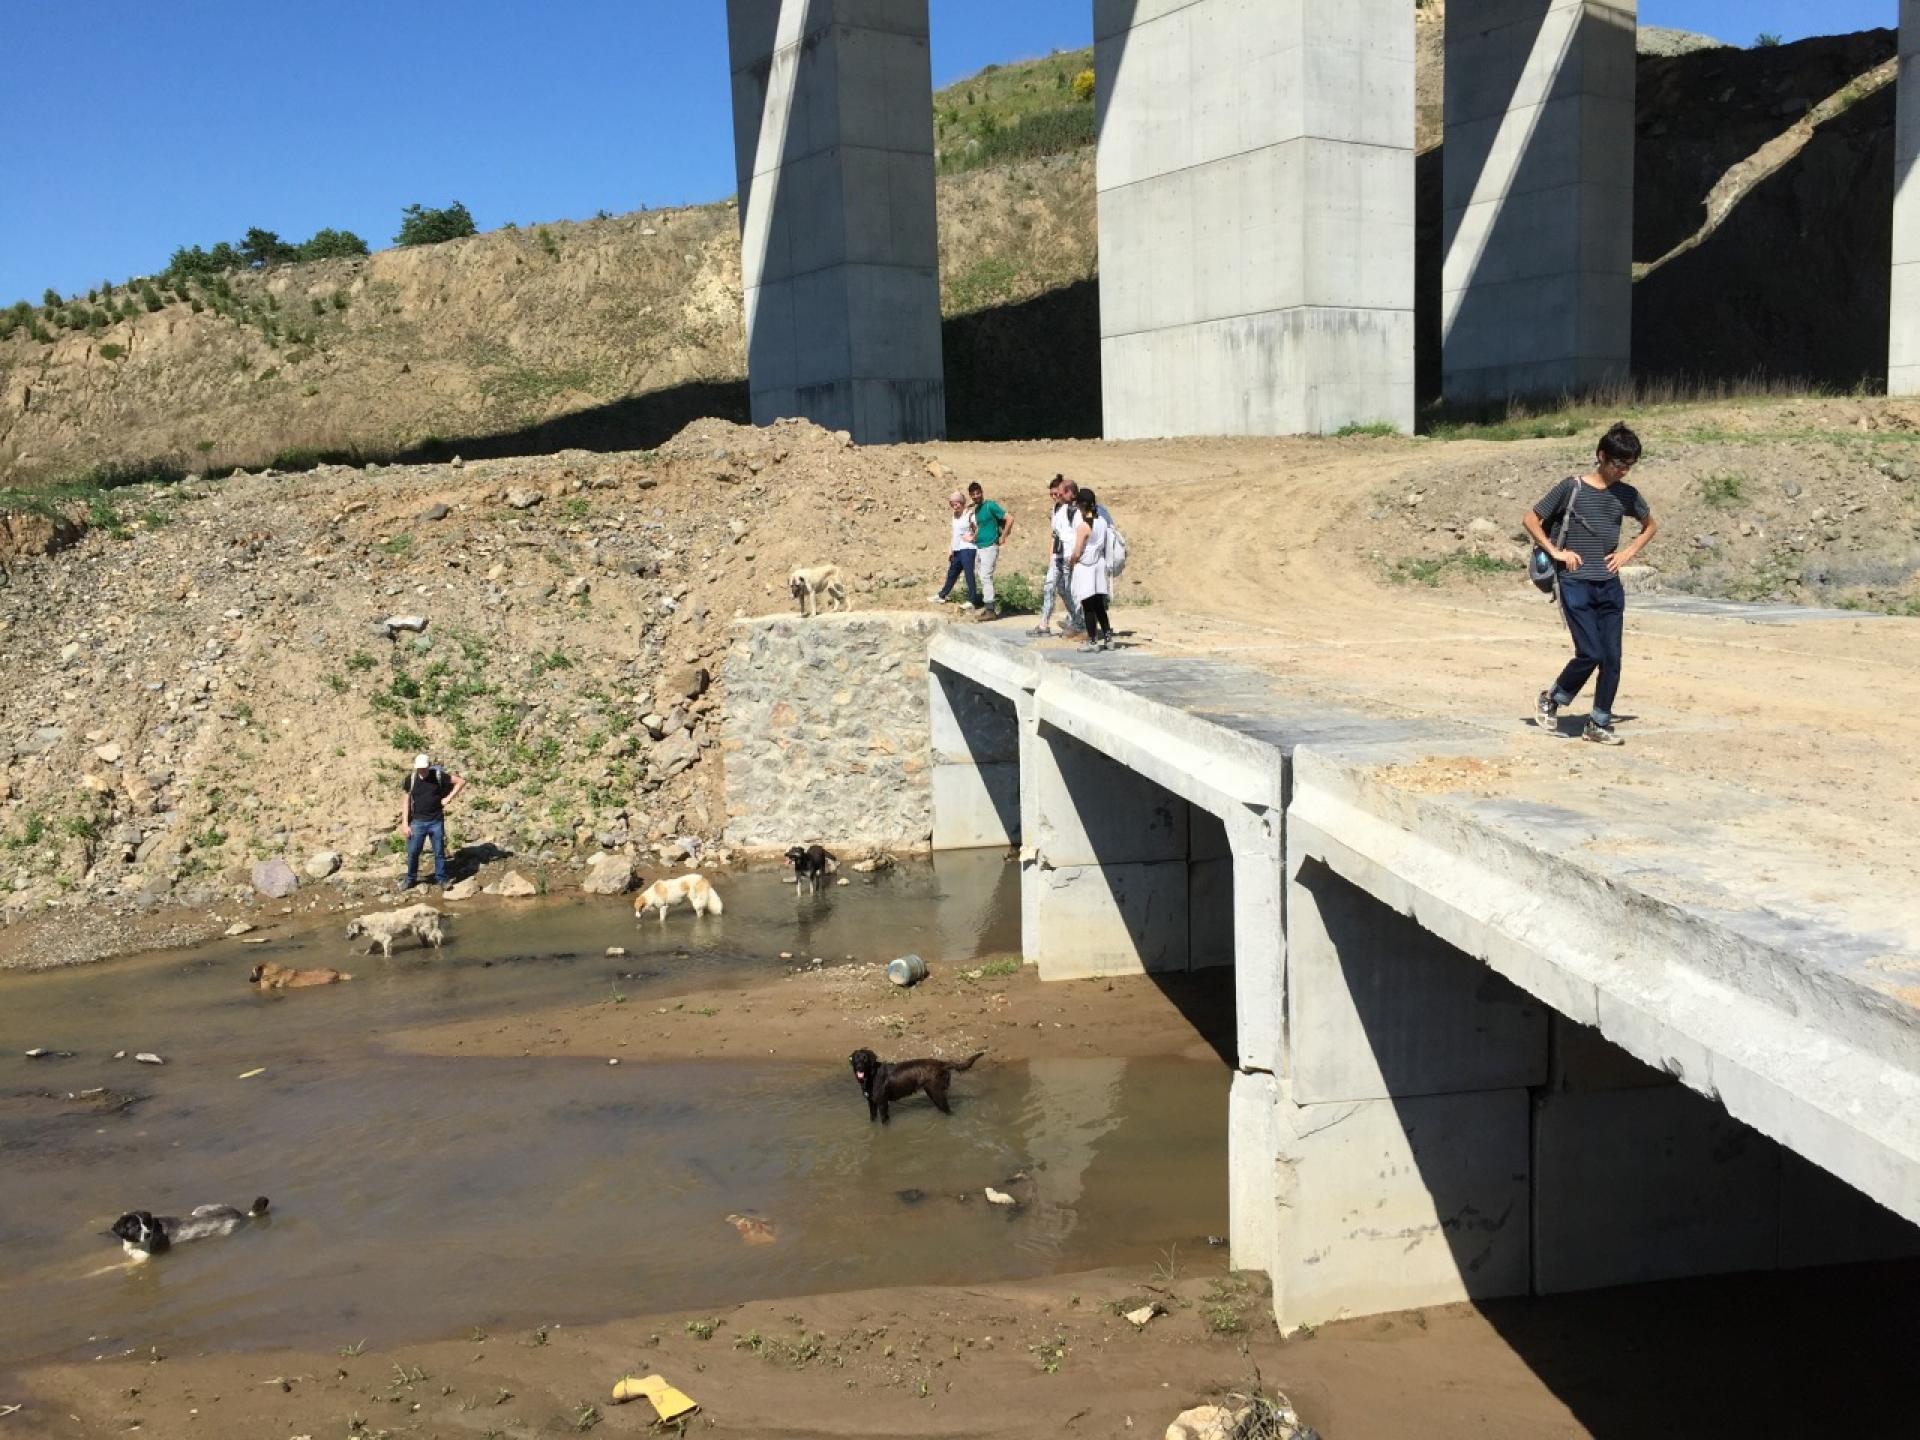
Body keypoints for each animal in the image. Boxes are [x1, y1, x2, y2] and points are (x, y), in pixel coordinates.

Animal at [848, 1052, 983, 1128]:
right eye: (856, 1058)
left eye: (865, 1059)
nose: (859, 1067)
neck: (871, 1076)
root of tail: (942, 1063)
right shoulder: (871, 1103)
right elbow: (872, 1119)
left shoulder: (882, 1103)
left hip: (936, 1093)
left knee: (949, 1111)